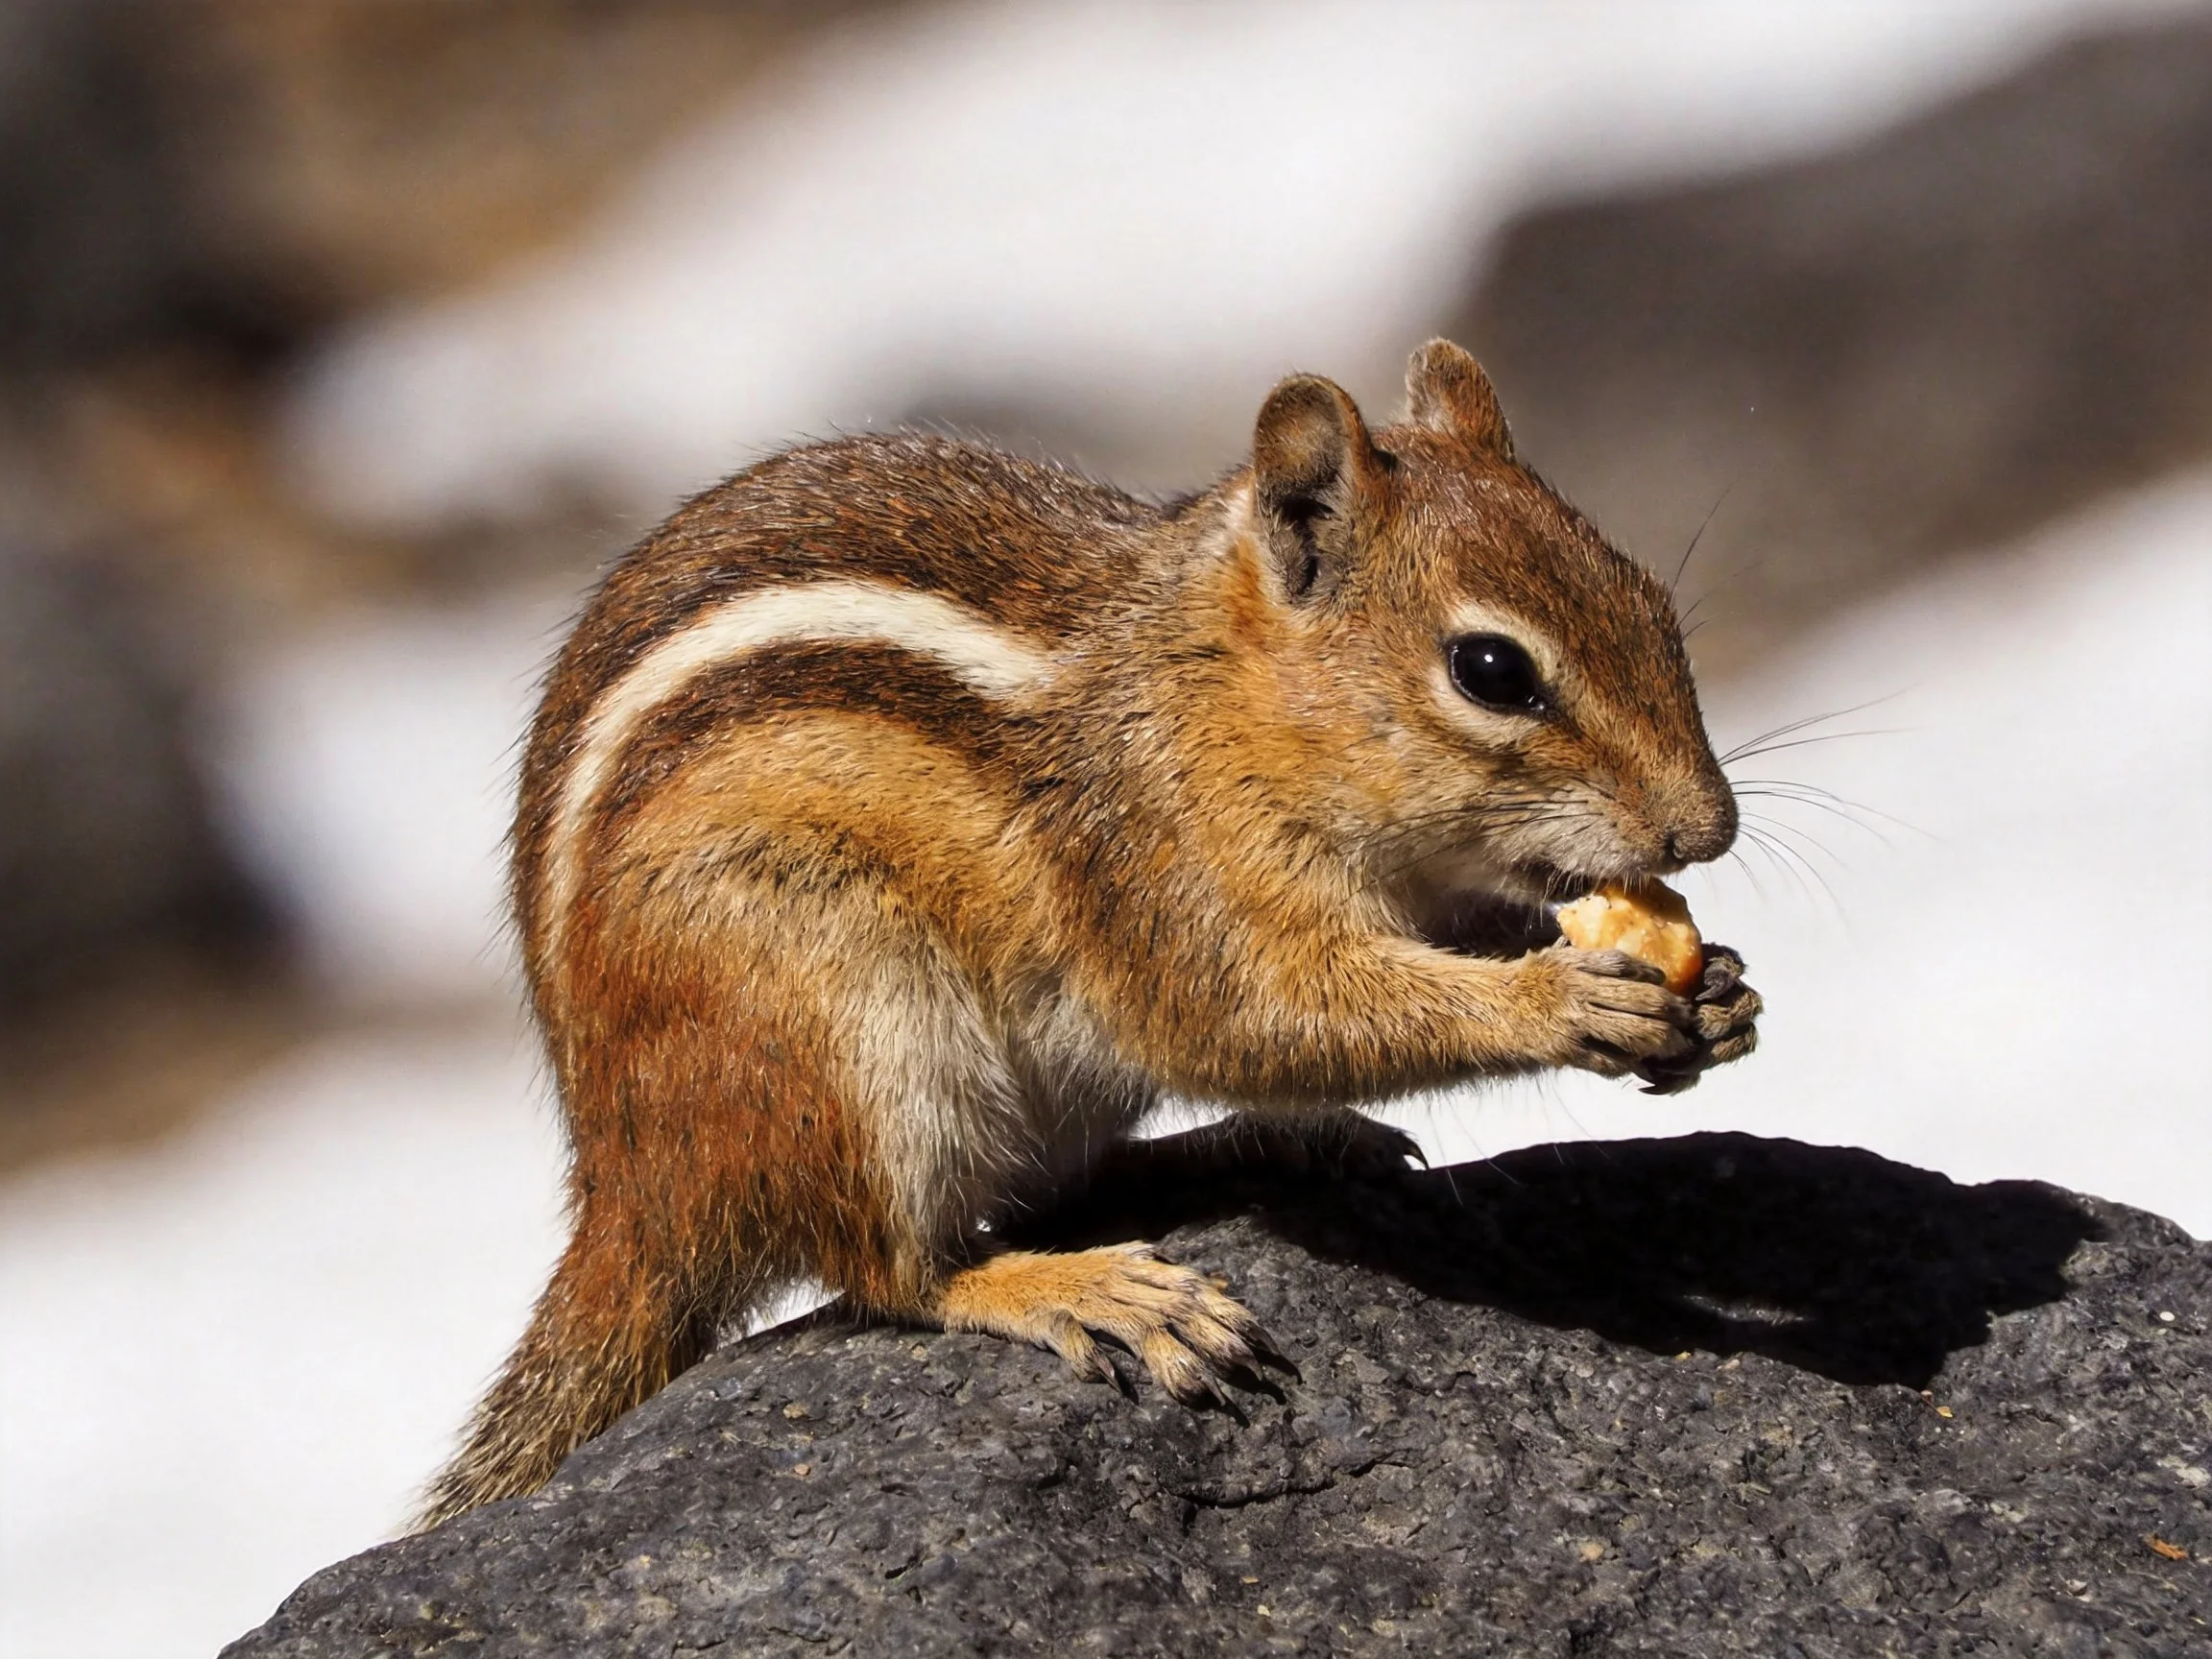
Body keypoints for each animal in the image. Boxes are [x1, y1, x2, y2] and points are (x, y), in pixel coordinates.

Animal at [421, 339, 1761, 1527]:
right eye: (1492, 670)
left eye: (1647, 596)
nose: (1709, 828)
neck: (1213, 689)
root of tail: (623, 1185)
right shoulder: (1165, 869)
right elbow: (1259, 1013)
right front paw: (1566, 999)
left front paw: (1719, 997)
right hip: (840, 1015)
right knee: (898, 1271)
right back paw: (1088, 1288)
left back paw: (1261, 1147)